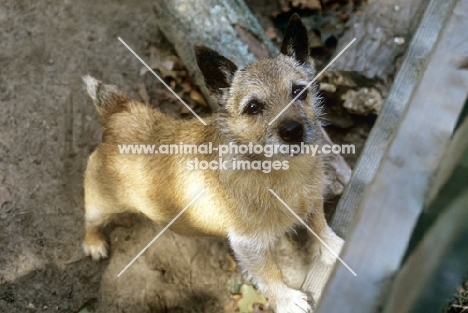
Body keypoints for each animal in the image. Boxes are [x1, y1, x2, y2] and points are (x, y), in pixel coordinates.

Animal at [82, 14, 344, 312]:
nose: (293, 131)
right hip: (102, 204)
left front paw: (333, 247)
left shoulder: (313, 202)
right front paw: (286, 300)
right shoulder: (249, 245)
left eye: (299, 92)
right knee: (89, 219)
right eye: (253, 107)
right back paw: (93, 243)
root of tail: (120, 113)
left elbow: (319, 226)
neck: (282, 172)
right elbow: (270, 273)